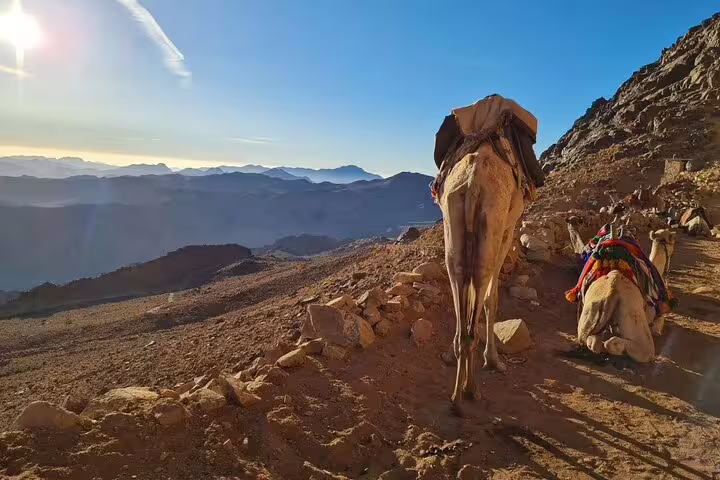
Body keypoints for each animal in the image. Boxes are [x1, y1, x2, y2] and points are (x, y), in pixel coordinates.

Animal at [431, 95, 543, 412]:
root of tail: (472, 183)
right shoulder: (507, 229)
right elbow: (492, 298)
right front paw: (492, 360)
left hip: (453, 224)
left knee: (459, 279)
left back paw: (457, 393)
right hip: (492, 223)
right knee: (482, 285)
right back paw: (470, 389)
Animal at [567, 220, 676, 362]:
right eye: (672, 241)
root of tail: (612, 292)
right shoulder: (658, 316)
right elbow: (658, 326)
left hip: (590, 311)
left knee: (591, 340)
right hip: (632, 310)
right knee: (642, 349)